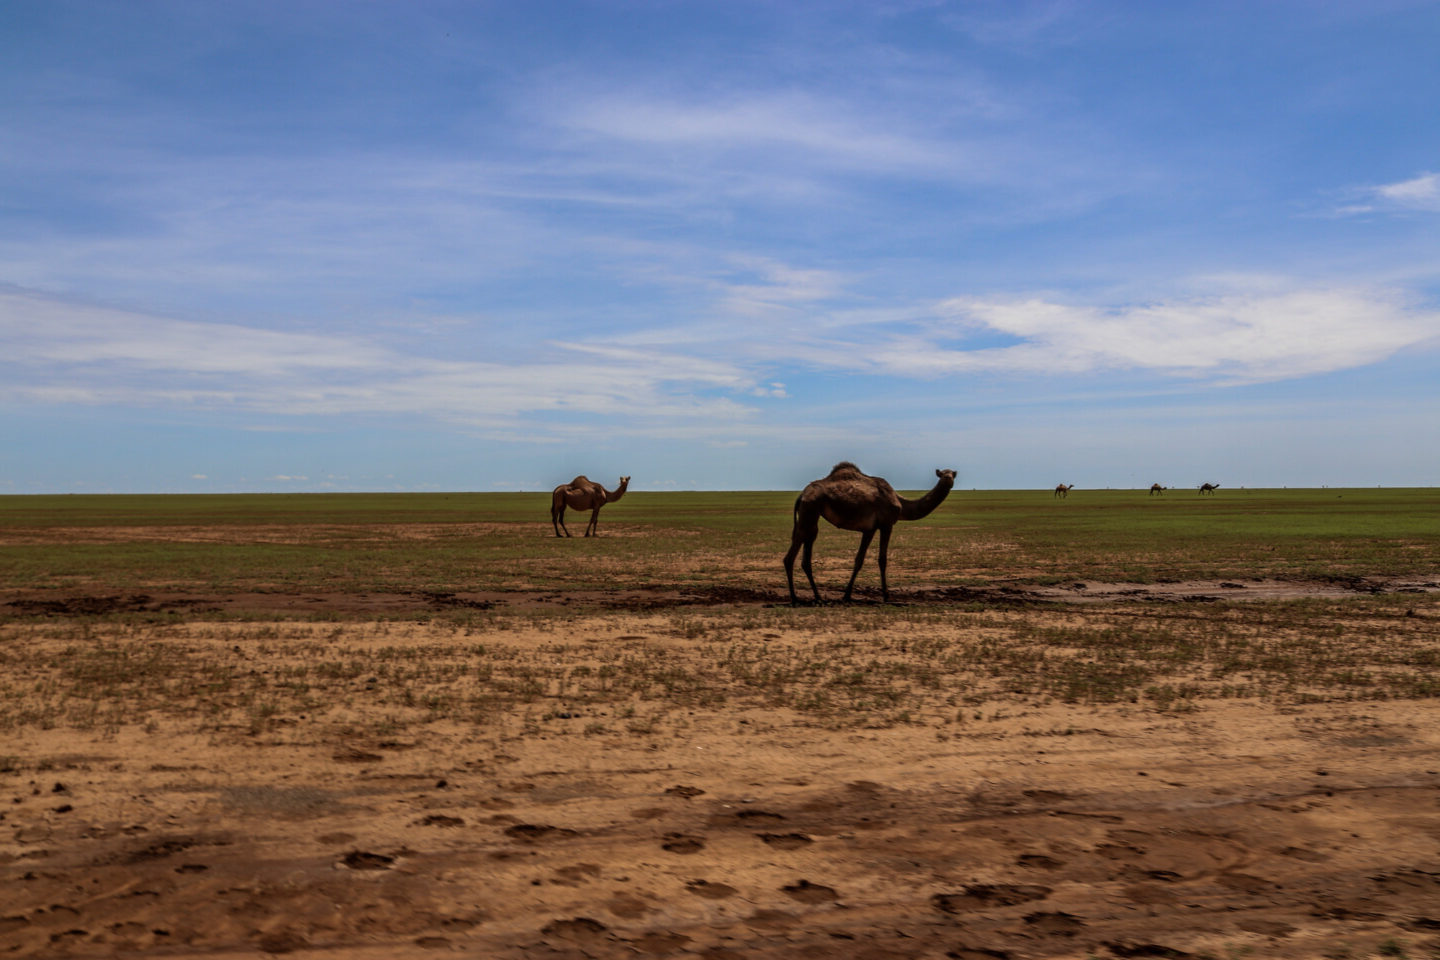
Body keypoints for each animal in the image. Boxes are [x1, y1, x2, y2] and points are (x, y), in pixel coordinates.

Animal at [789, 460, 956, 604]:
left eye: (952, 474)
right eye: (943, 474)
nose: (948, 479)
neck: (900, 503)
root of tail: (801, 495)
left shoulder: (869, 529)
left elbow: (859, 560)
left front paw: (847, 595)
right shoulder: (886, 524)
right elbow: (882, 560)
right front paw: (886, 596)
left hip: (810, 515)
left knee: (805, 553)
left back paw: (815, 597)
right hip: (810, 510)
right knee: (791, 555)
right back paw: (796, 598)